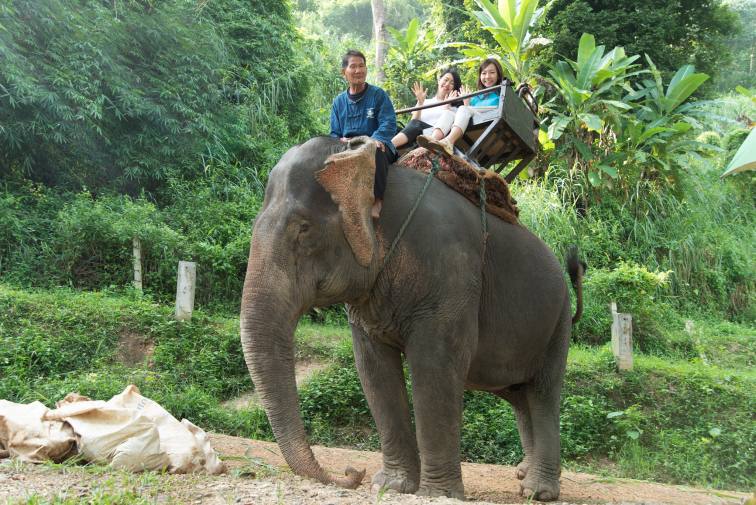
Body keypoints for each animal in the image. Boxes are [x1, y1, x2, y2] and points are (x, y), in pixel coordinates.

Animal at [240, 136, 584, 501]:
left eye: (303, 229)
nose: (353, 472)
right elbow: (374, 370)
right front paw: (390, 486)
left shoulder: (451, 273)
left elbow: (434, 367)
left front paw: (437, 495)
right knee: (519, 396)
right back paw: (524, 477)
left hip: (556, 323)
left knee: (543, 393)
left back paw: (538, 491)